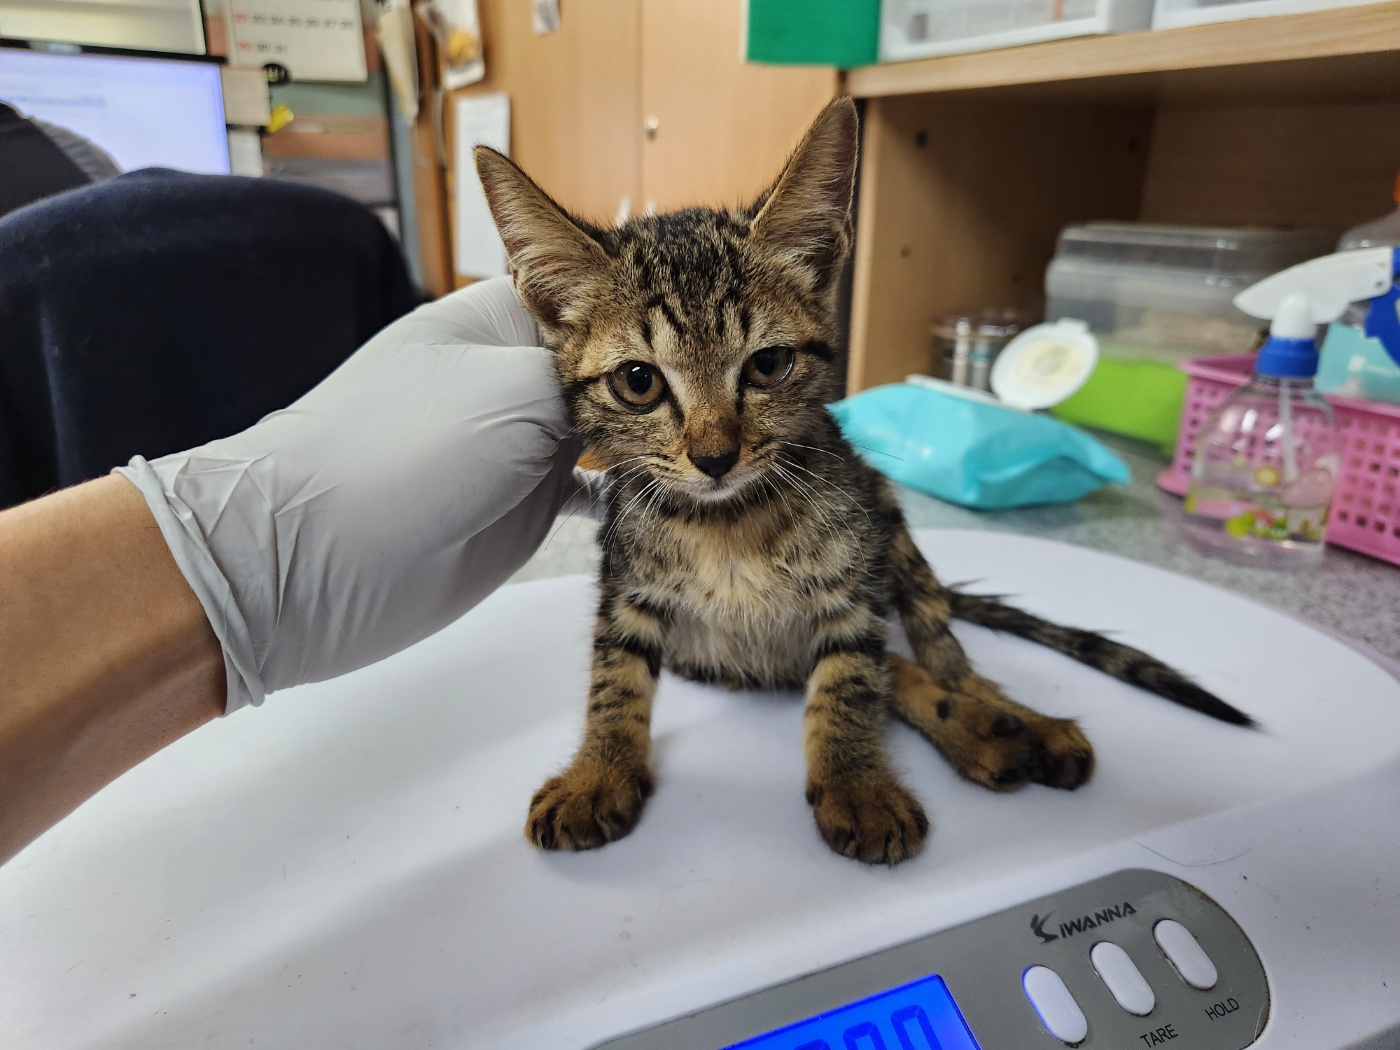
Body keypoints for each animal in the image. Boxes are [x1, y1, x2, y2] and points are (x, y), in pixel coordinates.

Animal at [476, 96, 1254, 862]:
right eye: (638, 382)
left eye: (767, 365)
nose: (715, 457)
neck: (728, 524)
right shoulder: (626, 589)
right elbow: (613, 681)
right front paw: (599, 772)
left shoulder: (853, 588)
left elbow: (850, 684)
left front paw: (857, 784)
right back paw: (997, 739)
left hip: (891, 528)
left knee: (936, 661)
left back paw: (1008, 720)